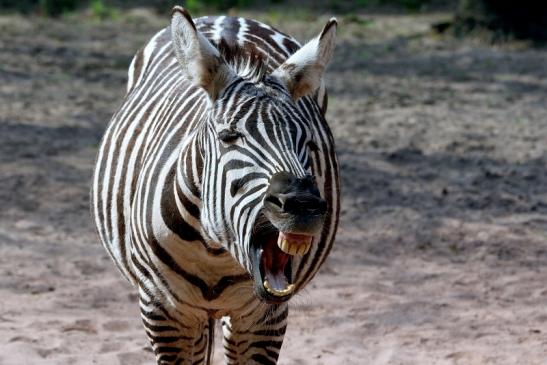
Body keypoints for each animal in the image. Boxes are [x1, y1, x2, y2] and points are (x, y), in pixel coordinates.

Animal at [92, 6, 340, 364]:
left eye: (307, 143)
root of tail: (229, 17)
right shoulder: (162, 310)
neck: (214, 252)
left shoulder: (264, 319)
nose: (302, 205)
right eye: (228, 137)